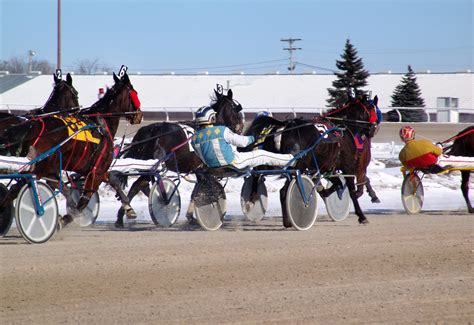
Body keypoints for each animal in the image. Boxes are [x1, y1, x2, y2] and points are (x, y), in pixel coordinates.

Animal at [0, 69, 142, 219]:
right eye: (135, 92)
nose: (139, 115)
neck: (101, 124)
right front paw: (70, 216)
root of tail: (30, 127)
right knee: (15, 190)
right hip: (38, 167)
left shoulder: (92, 169)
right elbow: (83, 199)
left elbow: (113, 180)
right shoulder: (96, 171)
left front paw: (129, 208)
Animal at [114, 86, 244, 228]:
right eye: (236, 108)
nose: (241, 128)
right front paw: (193, 215)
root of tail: (151, 130)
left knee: (141, 185)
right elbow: (199, 191)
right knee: (138, 185)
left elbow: (197, 191)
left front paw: (191, 216)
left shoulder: (198, 169)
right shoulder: (203, 169)